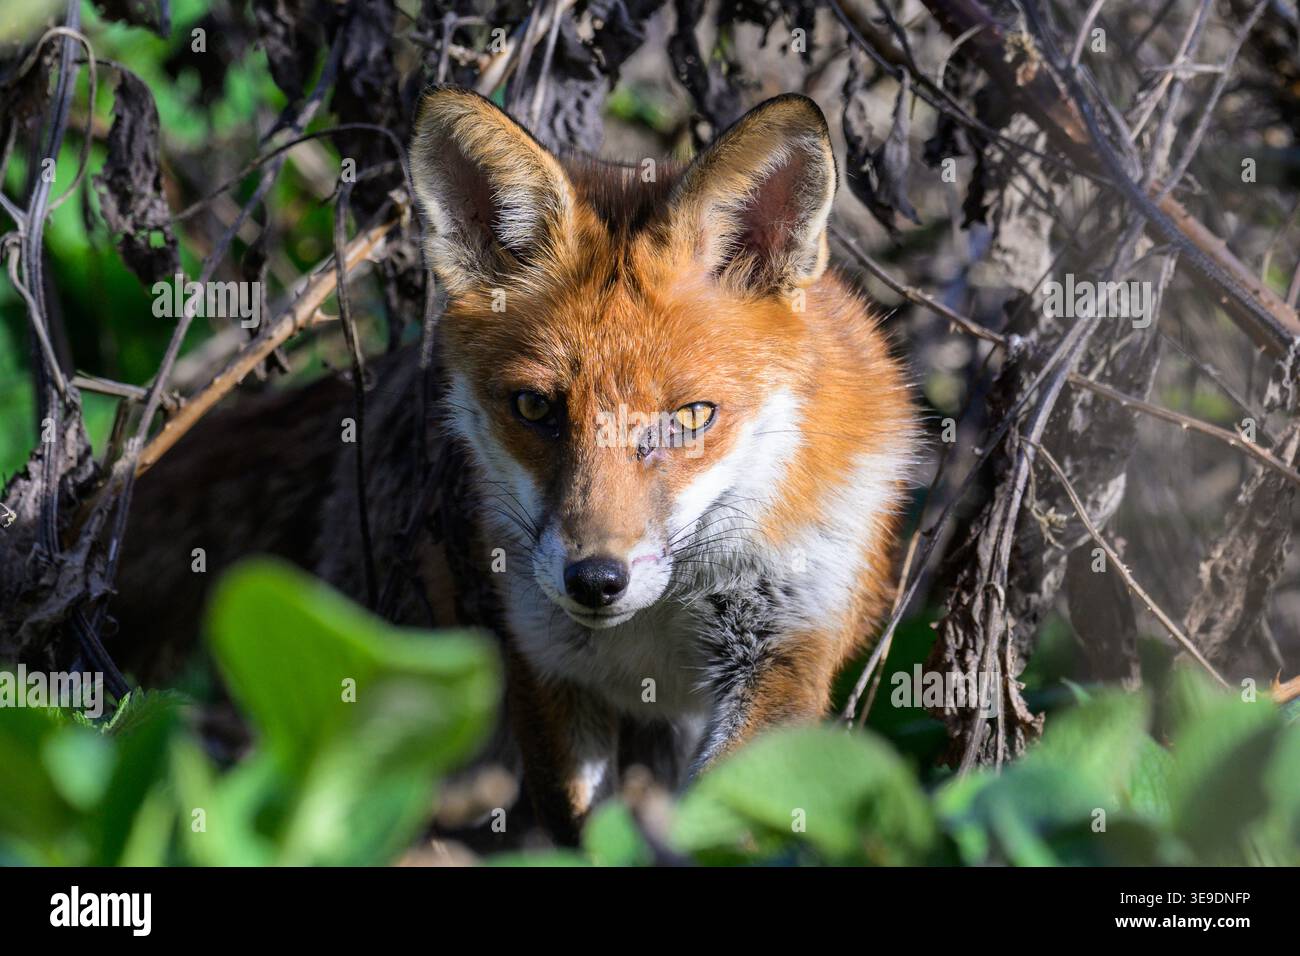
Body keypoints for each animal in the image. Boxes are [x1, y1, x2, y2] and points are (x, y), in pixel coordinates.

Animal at [112, 88, 916, 844]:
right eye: (534, 408)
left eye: (691, 417)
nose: (595, 580)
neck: (658, 622)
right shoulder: (543, 663)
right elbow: (583, 829)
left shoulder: (786, 652)